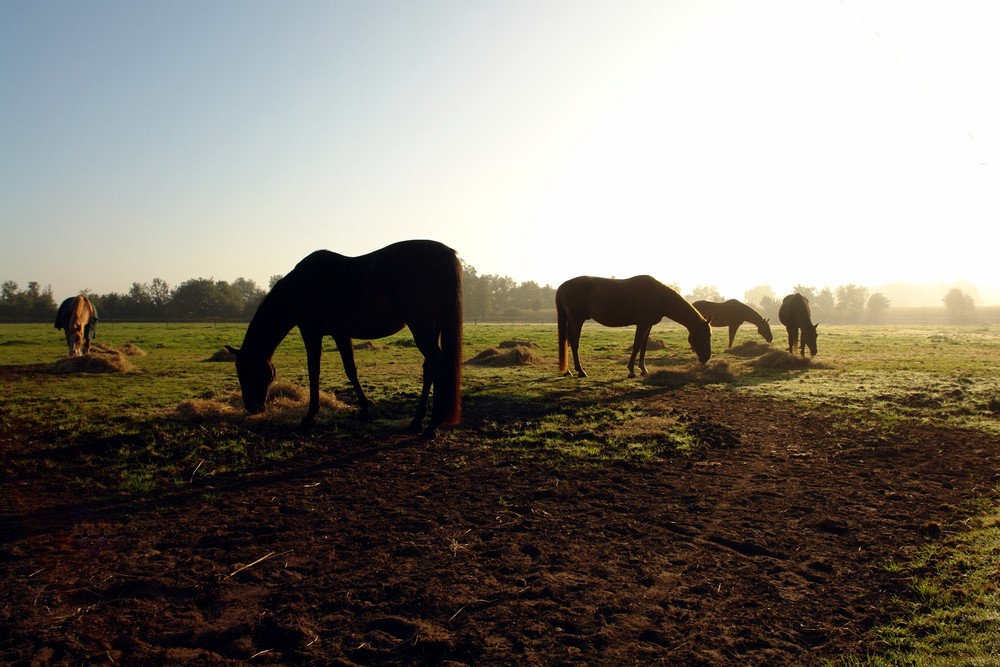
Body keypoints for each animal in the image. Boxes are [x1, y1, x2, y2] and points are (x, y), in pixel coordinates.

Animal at [225, 240, 462, 438]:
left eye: (245, 372)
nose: (253, 408)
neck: (299, 286)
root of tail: (444, 253)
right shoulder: (341, 334)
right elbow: (350, 370)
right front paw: (364, 410)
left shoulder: (311, 332)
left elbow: (314, 371)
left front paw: (310, 416)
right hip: (431, 327)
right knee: (430, 366)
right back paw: (417, 421)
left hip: (421, 326)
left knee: (437, 363)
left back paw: (432, 425)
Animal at [556, 276, 712, 378]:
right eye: (706, 335)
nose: (706, 358)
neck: (659, 296)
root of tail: (562, 286)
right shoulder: (642, 324)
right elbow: (637, 345)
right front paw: (631, 370)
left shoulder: (648, 324)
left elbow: (643, 346)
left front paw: (643, 369)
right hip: (577, 320)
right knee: (574, 343)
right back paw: (581, 371)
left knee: (567, 342)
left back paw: (568, 371)